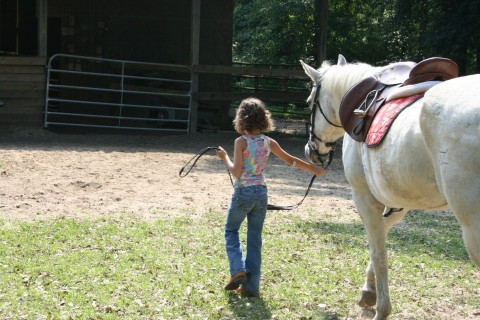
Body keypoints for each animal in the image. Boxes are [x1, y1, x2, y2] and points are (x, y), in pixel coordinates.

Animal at [302, 53, 478, 318]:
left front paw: (381, 307)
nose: (312, 151)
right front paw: (368, 290)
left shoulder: (364, 198)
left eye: (309, 101)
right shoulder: (399, 202)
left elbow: (379, 251)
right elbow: (381, 238)